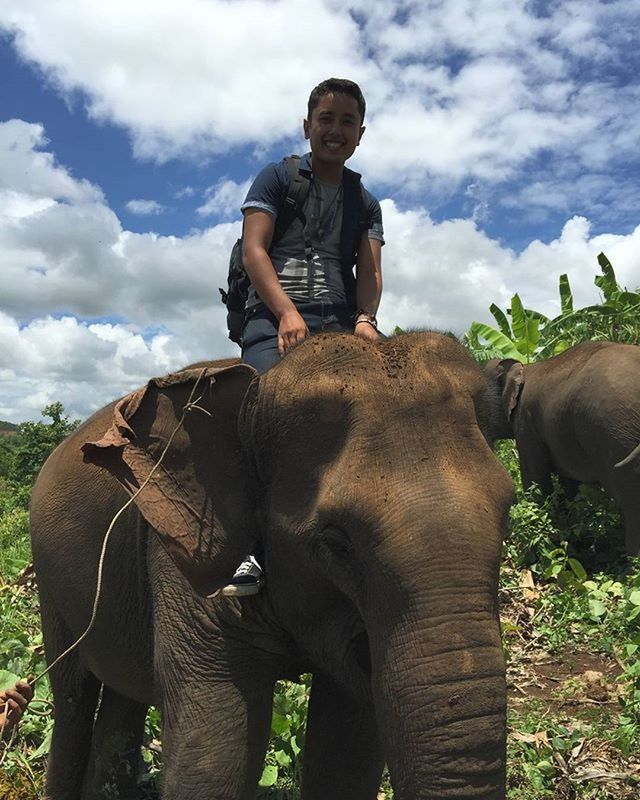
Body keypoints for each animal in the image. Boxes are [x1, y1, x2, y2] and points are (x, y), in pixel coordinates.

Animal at [30, 332, 516, 800]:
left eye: (508, 510)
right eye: (336, 543)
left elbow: (350, 743)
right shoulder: (186, 554)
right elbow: (213, 756)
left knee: (123, 697)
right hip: (49, 580)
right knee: (72, 697)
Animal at [484, 342, 640, 556]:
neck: (522, 366)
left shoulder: (525, 423)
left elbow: (535, 479)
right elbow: (570, 485)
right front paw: (573, 548)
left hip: (615, 431)